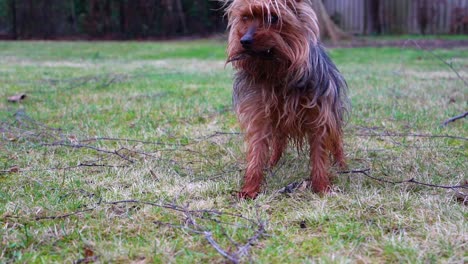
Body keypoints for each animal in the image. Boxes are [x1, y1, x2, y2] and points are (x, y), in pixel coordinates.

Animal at [225, 0, 350, 198]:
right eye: (245, 18)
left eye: (273, 18)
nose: (244, 40)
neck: (276, 71)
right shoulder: (259, 114)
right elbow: (257, 150)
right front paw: (250, 188)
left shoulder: (320, 115)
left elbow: (320, 151)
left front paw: (321, 186)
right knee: (278, 142)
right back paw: (272, 162)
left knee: (336, 139)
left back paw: (341, 164)